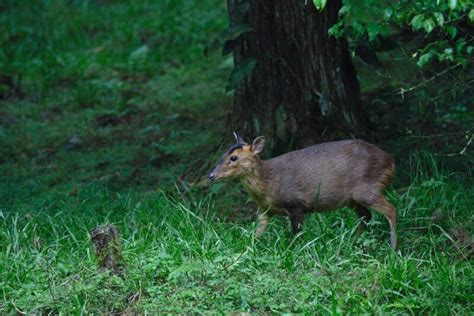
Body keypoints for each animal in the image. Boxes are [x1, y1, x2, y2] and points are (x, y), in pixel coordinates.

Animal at [209, 132, 398, 248]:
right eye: (222, 154)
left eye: (233, 158)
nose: (211, 175)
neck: (268, 185)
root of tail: (390, 161)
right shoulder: (264, 210)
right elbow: (256, 233)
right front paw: (247, 250)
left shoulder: (296, 204)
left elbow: (297, 234)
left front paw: (294, 250)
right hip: (352, 199)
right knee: (366, 216)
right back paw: (351, 242)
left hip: (367, 189)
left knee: (391, 210)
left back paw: (393, 248)